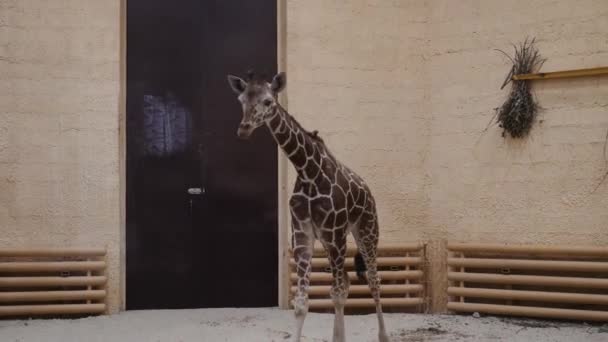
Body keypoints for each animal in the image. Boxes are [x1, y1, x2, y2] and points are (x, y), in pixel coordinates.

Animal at [228, 71, 390, 340]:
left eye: (268, 101)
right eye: (241, 100)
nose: (244, 129)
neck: (308, 171)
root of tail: (369, 193)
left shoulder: (335, 234)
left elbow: (336, 294)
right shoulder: (303, 234)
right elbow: (302, 303)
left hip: (366, 231)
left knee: (372, 281)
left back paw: (383, 335)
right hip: (328, 240)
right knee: (347, 281)